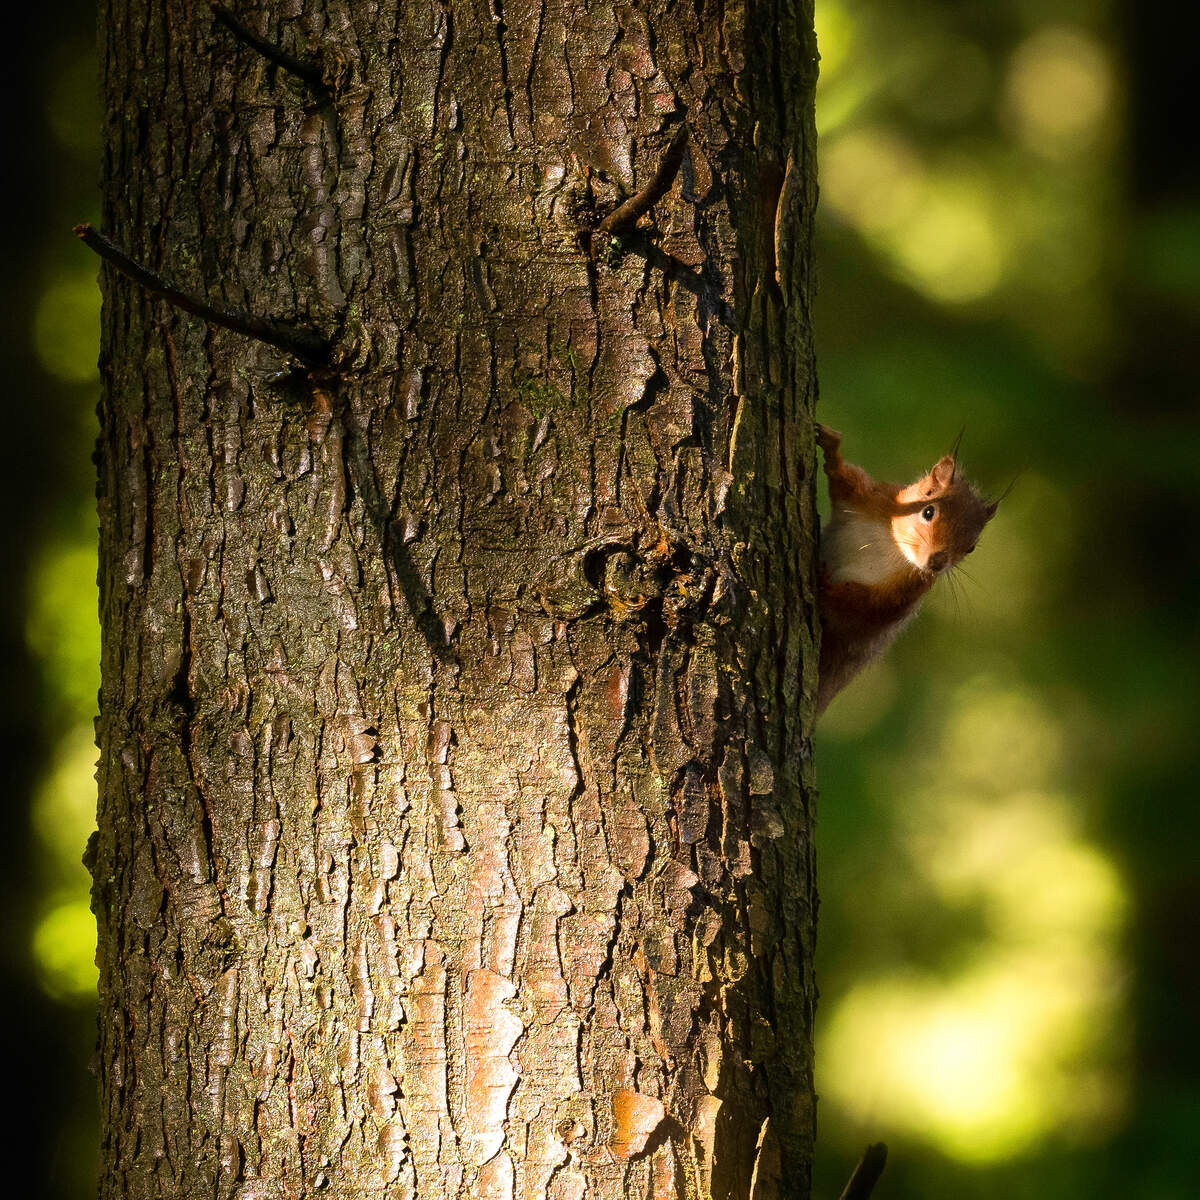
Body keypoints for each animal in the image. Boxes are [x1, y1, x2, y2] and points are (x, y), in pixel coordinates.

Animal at [811, 427, 998, 715]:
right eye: (928, 511)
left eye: (971, 548)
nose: (936, 563)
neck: (895, 547)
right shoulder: (873, 499)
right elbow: (845, 480)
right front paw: (831, 447)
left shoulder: (905, 592)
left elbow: (866, 607)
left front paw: (826, 584)